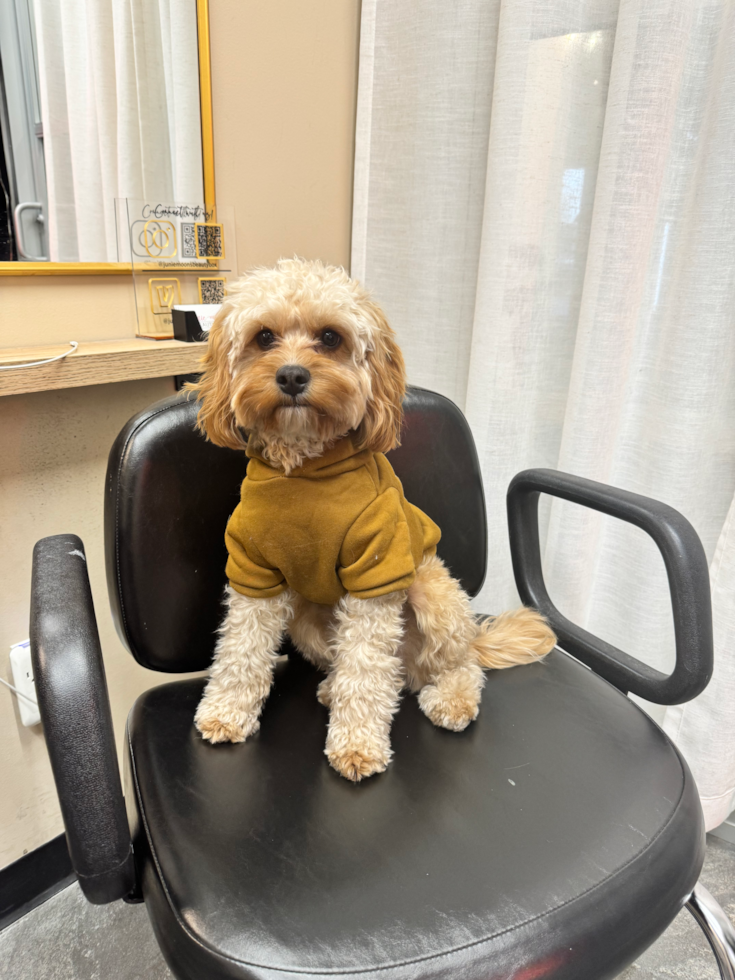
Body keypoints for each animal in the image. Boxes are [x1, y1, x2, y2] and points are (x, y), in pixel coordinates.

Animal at [190, 258, 556, 780]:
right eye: (264, 337)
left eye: (330, 337)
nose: (292, 376)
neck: (304, 471)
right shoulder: (253, 571)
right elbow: (241, 648)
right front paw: (226, 712)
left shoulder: (376, 572)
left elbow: (365, 668)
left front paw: (357, 744)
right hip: (309, 620)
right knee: (384, 672)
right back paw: (331, 689)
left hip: (436, 595)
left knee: (455, 665)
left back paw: (451, 698)